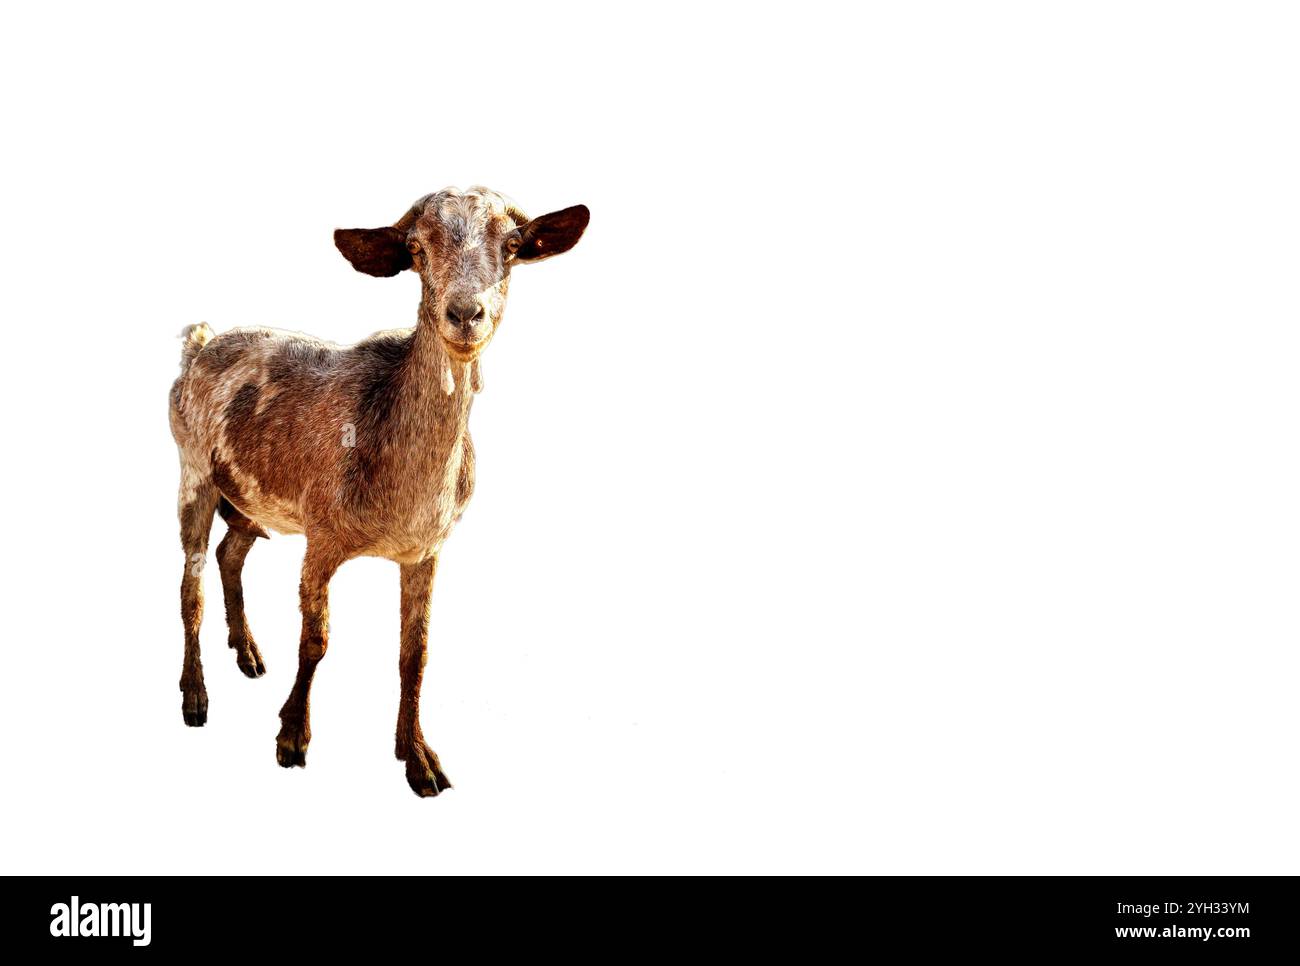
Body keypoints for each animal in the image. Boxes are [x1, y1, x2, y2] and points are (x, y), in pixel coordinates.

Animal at [168, 187, 589, 796]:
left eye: (512, 246)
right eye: (415, 249)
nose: (465, 314)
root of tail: (199, 343)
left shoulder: (426, 550)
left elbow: (416, 653)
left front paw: (419, 759)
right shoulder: (321, 534)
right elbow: (315, 640)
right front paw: (292, 738)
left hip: (248, 498)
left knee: (231, 552)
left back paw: (247, 653)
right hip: (193, 468)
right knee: (190, 584)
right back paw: (196, 697)